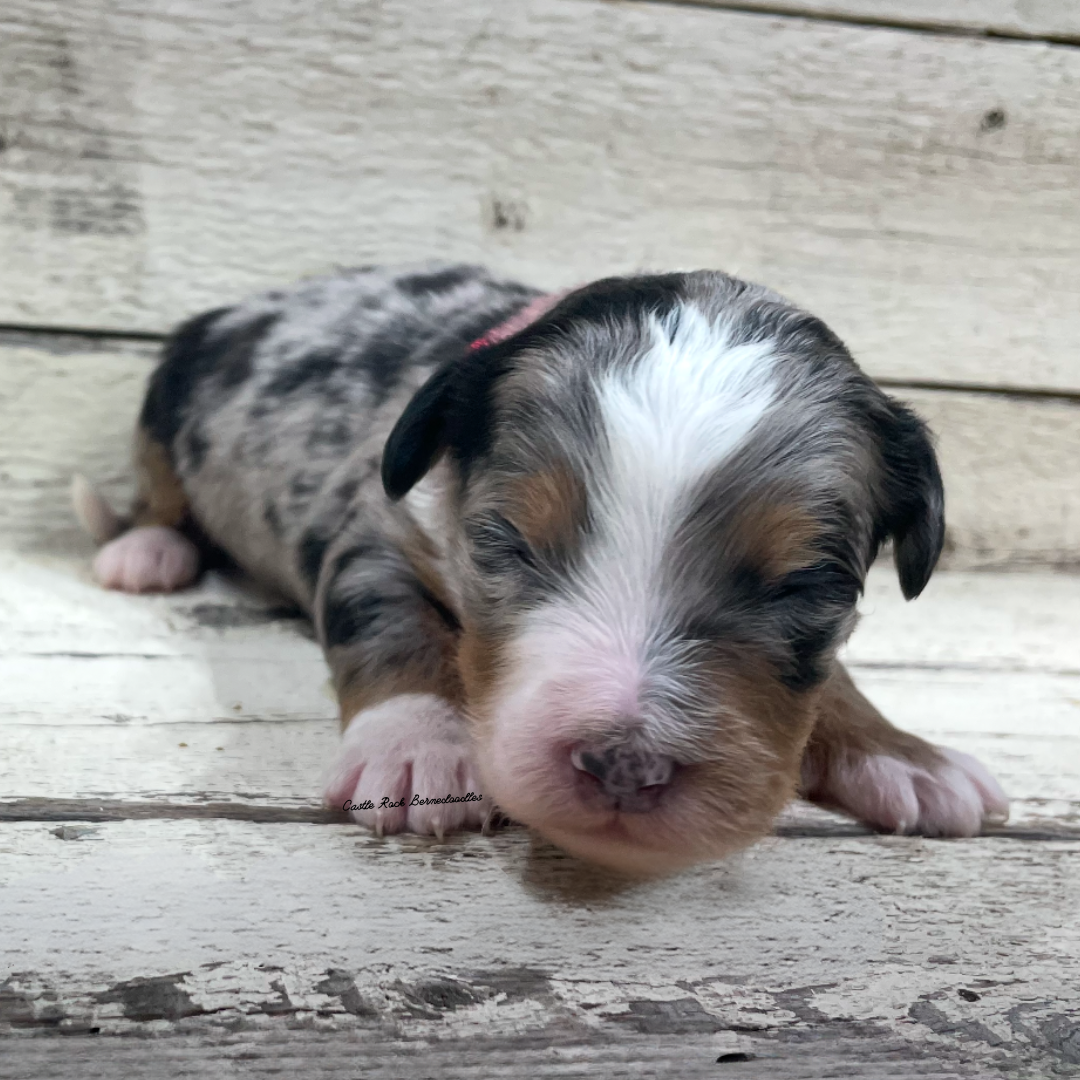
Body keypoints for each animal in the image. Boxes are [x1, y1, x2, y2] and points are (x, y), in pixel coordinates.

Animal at [73, 263, 1002, 876]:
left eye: (807, 586)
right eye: (507, 542)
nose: (624, 767)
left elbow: (837, 675)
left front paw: (905, 755)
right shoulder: (375, 529)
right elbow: (388, 622)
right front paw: (418, 748)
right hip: (163, 394)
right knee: (158, 495)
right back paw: (146, 552)